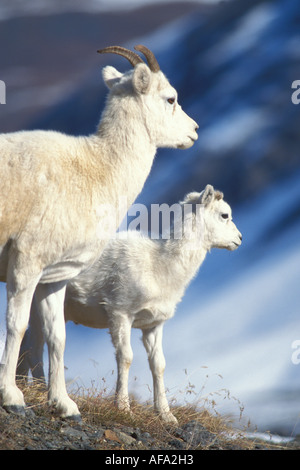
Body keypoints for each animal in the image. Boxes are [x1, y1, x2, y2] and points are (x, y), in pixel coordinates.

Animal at [0, 45, 199, 418]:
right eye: (170, 98)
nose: (194, 131)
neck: (98, 168)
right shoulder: (26, 263)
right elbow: (15, 326)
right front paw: (12, 397)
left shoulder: (54, 277)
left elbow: (57, 337)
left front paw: (64, 405)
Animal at [17, 185, 241, 424]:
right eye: (224, 215)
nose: (239, 239)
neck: (160, 265)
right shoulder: (120, 314)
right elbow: (126, 357)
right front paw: (123, 408)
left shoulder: (152, 326)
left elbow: (158, 365)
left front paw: (166, 415)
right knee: (33, 347)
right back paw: (42, 391)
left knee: (29, 343)